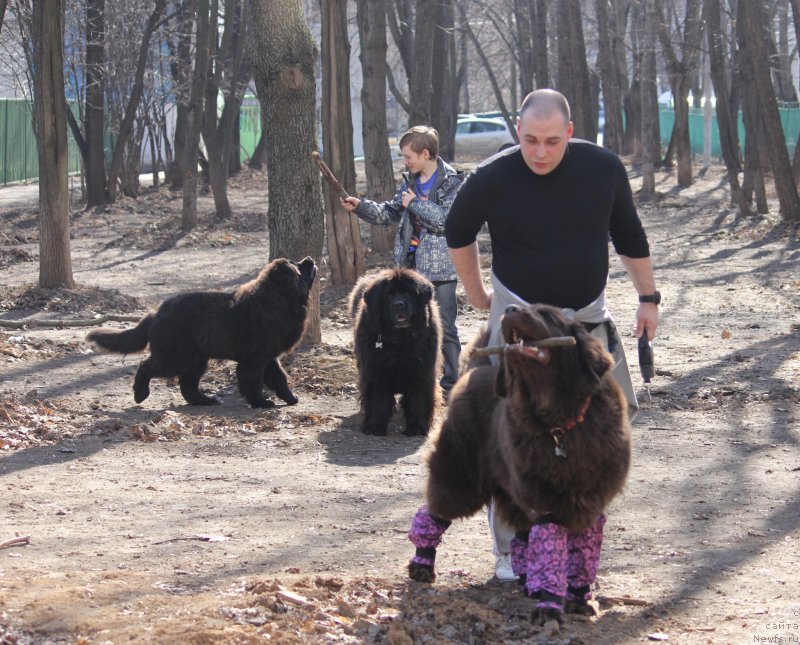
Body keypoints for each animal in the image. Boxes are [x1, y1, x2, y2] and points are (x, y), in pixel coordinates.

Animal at [85, 256, 316, 408]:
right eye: (298, 267)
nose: (310, 259)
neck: (277, 299)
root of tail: (156, 313)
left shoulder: (269, 357)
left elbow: (279, 377)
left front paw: (290, 397)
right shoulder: (255, 358)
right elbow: (251, 380)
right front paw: (260, 402)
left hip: (195, 359)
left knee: (187, 385)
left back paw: (205, 400)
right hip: (176, 356)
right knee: (147, 366)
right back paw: (140, 393)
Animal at [350, 264, 444, 436]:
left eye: (408, 293)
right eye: (389, 296)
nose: (399, 304)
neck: (399, 342)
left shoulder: (421, 371)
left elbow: (418, 400)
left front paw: (417, 427)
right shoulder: (375, 371)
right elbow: (377, 400)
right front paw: (375, 426)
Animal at [410, 304, 636, 620]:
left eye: (547, 314)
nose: (510, 307)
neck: (560, 423)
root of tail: (474, 371)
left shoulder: (589, 503)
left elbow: (581, 558)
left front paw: (579, 600)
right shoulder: (547, 501)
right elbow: (550, 554)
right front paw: (549, 607)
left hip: (512, 489)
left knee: (520, 535)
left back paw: (528, 584)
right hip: (461, 478)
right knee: (435, 511)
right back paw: (421, 565)